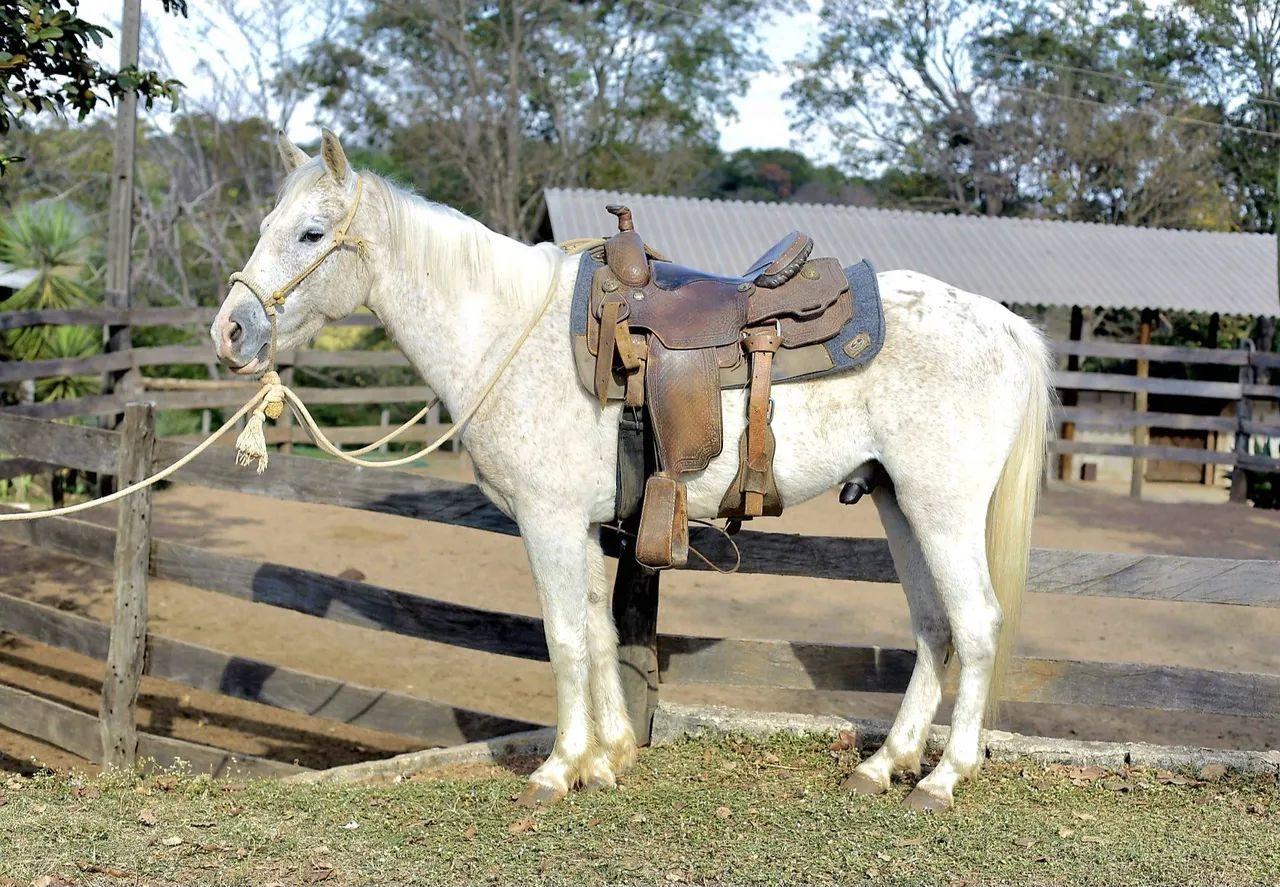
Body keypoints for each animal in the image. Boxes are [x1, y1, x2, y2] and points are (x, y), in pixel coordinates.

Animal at [212, 130, 1053, 812]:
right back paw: (884, 765)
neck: (508, 332)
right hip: (898, 503)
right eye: (265, 227)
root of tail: (1003, 324)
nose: (231, 330)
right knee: (933, 625)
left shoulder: (548, 519)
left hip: (942, 507)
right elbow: (596, 625)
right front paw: (608, 756)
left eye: (311, 232)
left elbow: (562, 636)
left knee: (976, 622)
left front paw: (557, 769)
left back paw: (943, 778)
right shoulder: (582, 525)